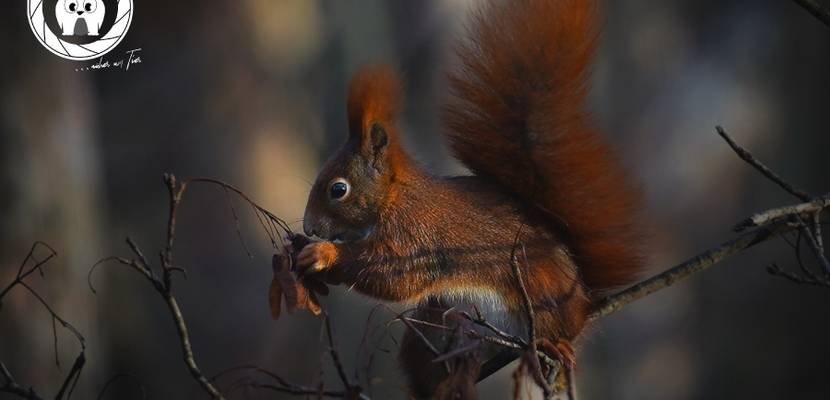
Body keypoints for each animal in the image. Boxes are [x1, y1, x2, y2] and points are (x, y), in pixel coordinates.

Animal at [294, 0, 643, 397]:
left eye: (338, 189)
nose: (309, 226)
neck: (394, 198)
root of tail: (583, 299)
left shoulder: (416, 235)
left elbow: (394, 276)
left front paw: (324, 254)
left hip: (542, 297)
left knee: (555, 331)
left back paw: (556, 344)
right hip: (432, 329)